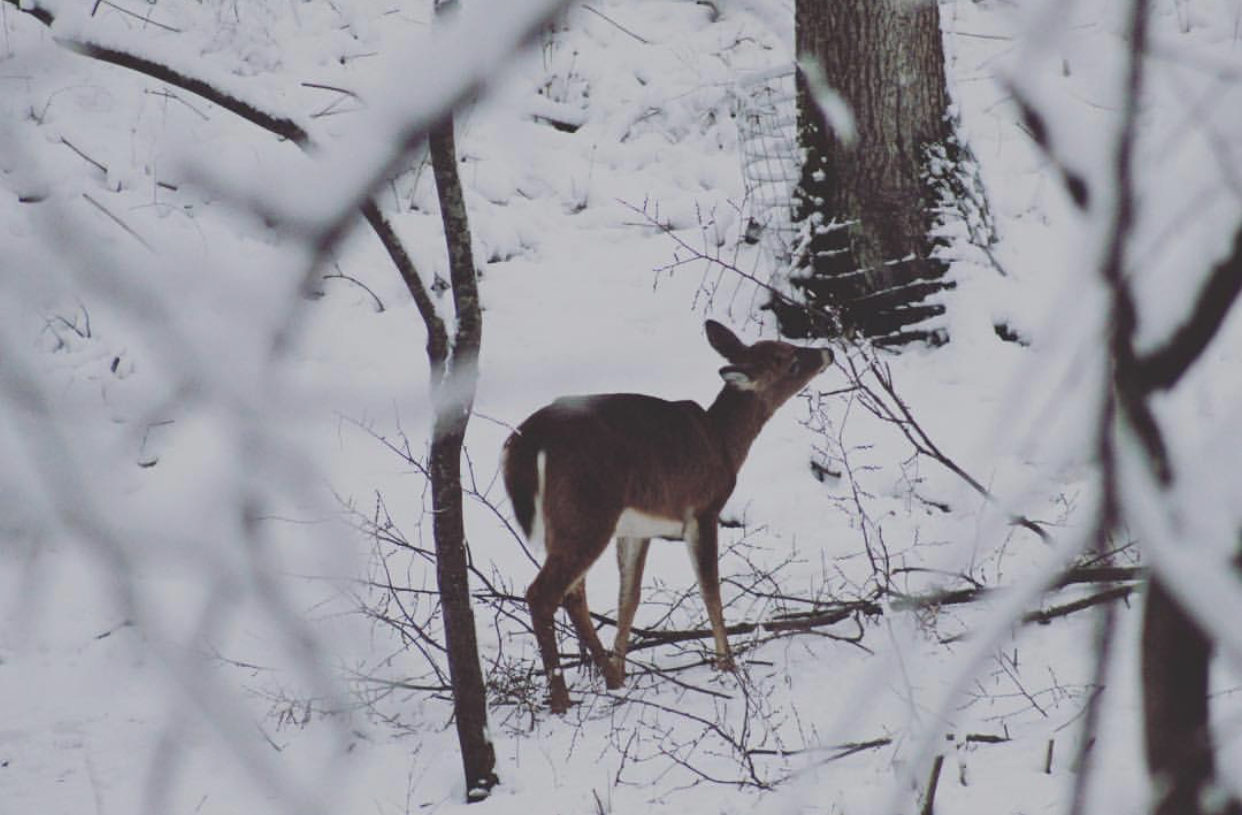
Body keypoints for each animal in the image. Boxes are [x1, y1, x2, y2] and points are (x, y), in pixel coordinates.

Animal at [501, 318, 834, 715]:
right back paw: (561, 701)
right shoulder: (703, 509)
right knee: (542, 593)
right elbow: (710, 589)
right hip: (587, 511)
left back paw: (610, 680)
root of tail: (526, 441)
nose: (827, 351)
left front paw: (621, 669)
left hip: (573, 520)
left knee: (573, 595)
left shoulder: (637, 529)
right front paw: (728, 665)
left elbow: (628, 599)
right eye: (791, 362)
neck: (724, 444)